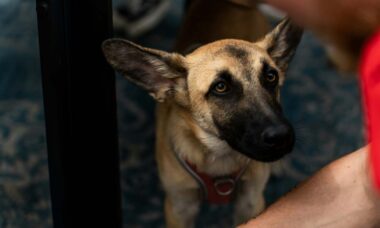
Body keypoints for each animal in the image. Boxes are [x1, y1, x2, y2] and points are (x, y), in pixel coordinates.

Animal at [101, 17, 302, 226]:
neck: (219, 156)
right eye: (220, 87)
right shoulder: (180, 208)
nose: (281, 136)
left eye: (271, 76)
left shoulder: (250, 202)